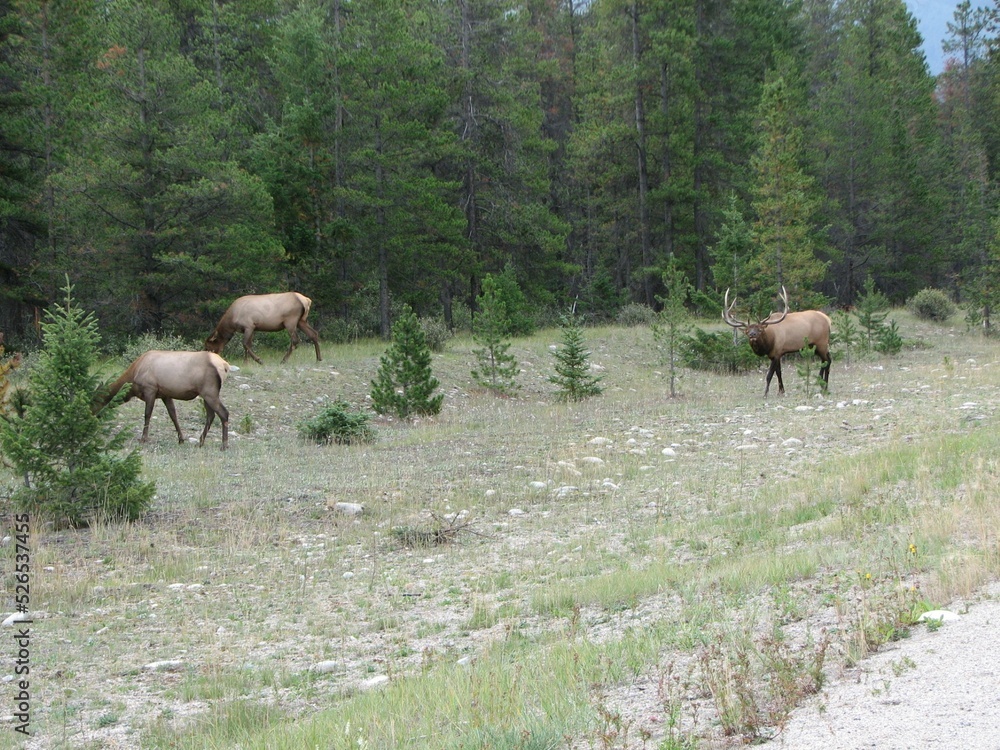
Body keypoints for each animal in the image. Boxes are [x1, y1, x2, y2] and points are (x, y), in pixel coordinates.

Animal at [96, 350, 231, 450]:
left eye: (95, 400)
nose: (93, 415)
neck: (133, 376)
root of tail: (225, 365)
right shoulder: (165, 395)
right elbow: (173, 415)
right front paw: (181, 439)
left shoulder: (150, 389)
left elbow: (147, 414)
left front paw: (143, 438)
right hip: (206, 394)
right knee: (211, 415)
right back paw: (201, 442)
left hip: (209, 391)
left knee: (224, 413)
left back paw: (224, 445)